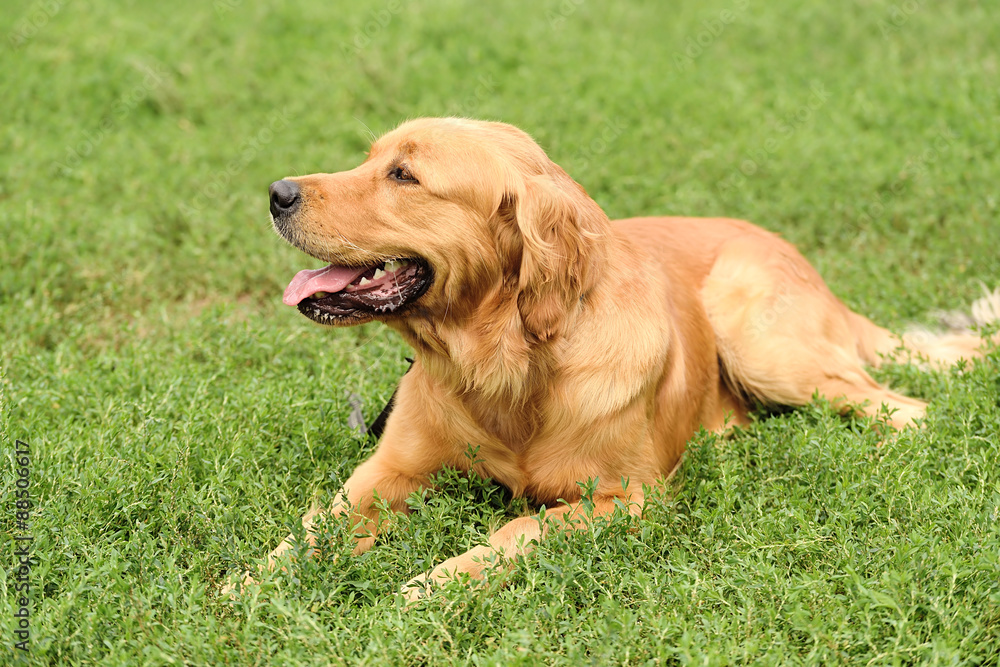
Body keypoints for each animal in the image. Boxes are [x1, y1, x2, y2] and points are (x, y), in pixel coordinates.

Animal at [238, 116, 996, 600]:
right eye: (370, 158)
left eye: (404, 175)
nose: (276, 193)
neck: (507, 364)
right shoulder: (388, 469)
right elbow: (314, 525)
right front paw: (250, 580)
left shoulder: (624, 498)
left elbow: (519, 528)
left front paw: (434, 581)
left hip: (763, 340)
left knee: (903, 406)